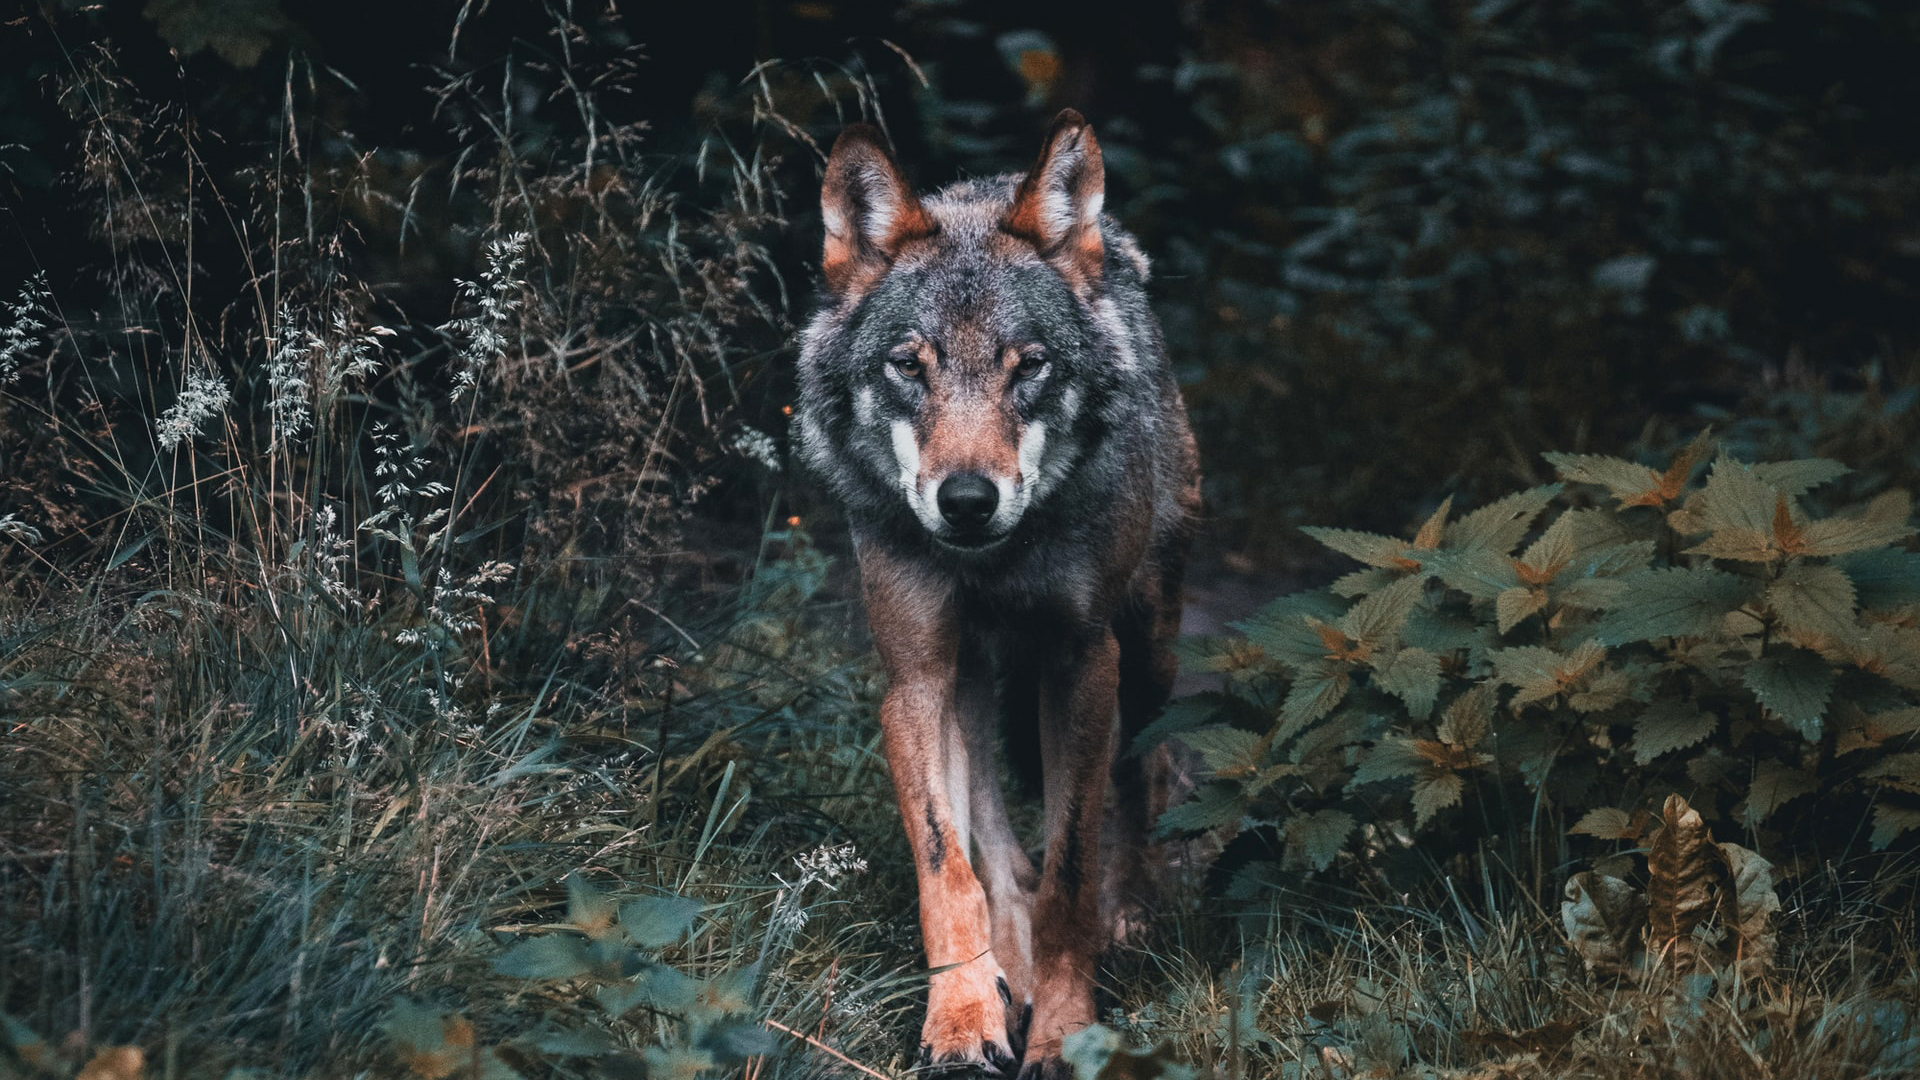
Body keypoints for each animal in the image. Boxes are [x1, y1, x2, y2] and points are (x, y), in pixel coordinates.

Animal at [794, 110, 1201, 1079]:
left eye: (1031, 367)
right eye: (909, 366)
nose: (969, 501)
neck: (993, 563)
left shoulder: (1081, 661)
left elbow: (1070, 872)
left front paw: (1063, 1027)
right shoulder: (914, 678)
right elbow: (950, 869)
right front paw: (961, 1018)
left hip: (1150, 653)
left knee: (1143, 774)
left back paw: (1127, 919)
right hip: (972, 681)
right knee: (995, 844)